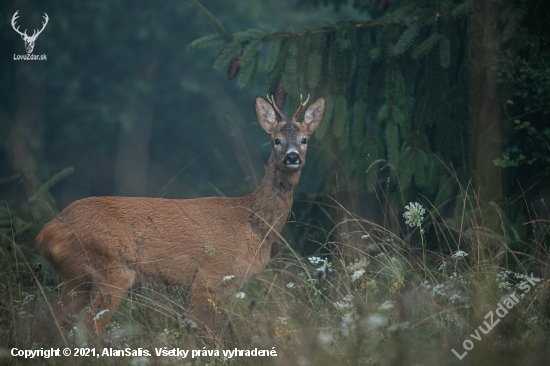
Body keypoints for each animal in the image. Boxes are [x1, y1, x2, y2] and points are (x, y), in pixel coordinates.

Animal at [34, 94, 326, 340]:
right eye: (276, 139)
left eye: (304, 140)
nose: (292, 157)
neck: (251, 221)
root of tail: (47, 232)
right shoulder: (211, 273)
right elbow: (206, 331)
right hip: (111, 266)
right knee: (88, 328)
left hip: (77, 278)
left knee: (48, 321)